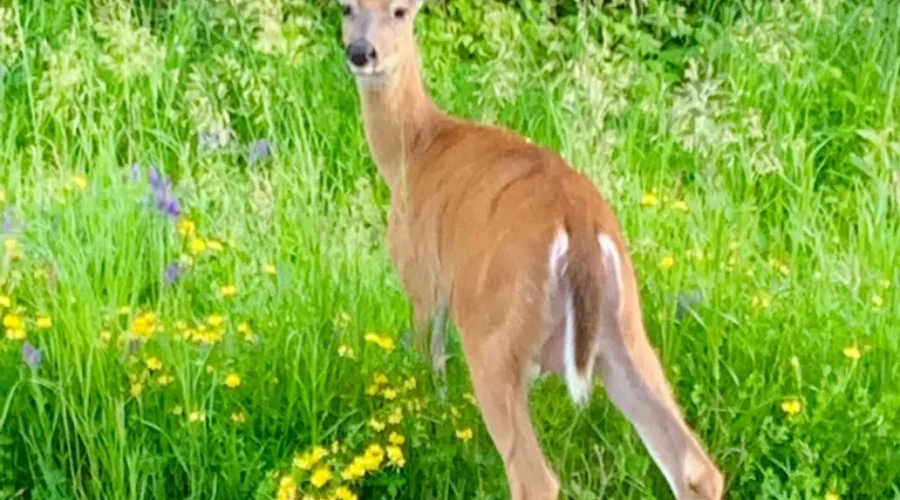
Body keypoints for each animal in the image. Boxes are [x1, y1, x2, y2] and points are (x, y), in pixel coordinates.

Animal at [336, 1, 725, 498]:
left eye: (400, 12)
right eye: (347, 8)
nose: (361, 52)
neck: (414, 149)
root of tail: (580, 221)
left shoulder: (422, 277)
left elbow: (428, 365)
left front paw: (429, 428)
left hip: (493, 329)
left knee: (534, 477)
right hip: (622, 325)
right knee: (695, 465)